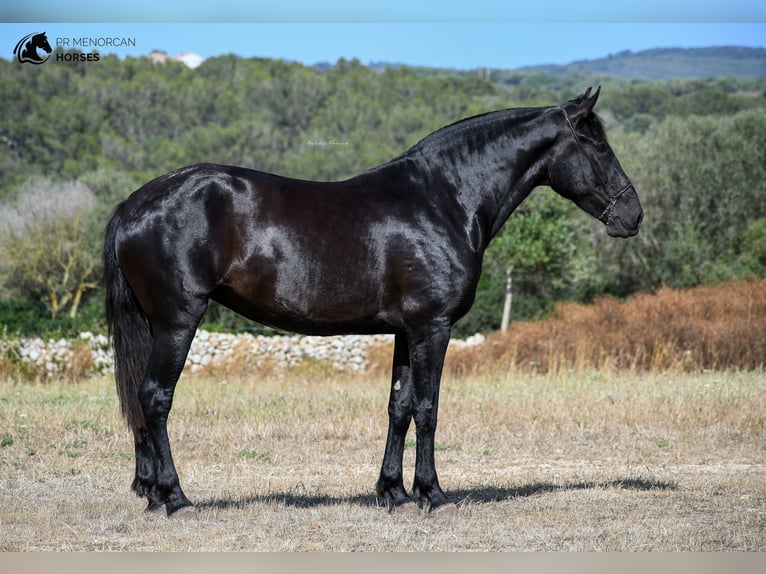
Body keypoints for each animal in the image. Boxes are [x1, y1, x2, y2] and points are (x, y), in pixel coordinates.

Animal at [102, 88, 640, 520]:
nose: (632, 215)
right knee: (155, 397)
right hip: (177, 321)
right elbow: (428, 408)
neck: (443, 200)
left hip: (155, 324)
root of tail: (134, 203)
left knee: (141, 398)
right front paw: (432, 495)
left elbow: (398, 406)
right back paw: (175, 499)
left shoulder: (405, 330)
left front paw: (393, 493)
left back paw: (150, 493)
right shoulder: (433, 326)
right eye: (596, 143)